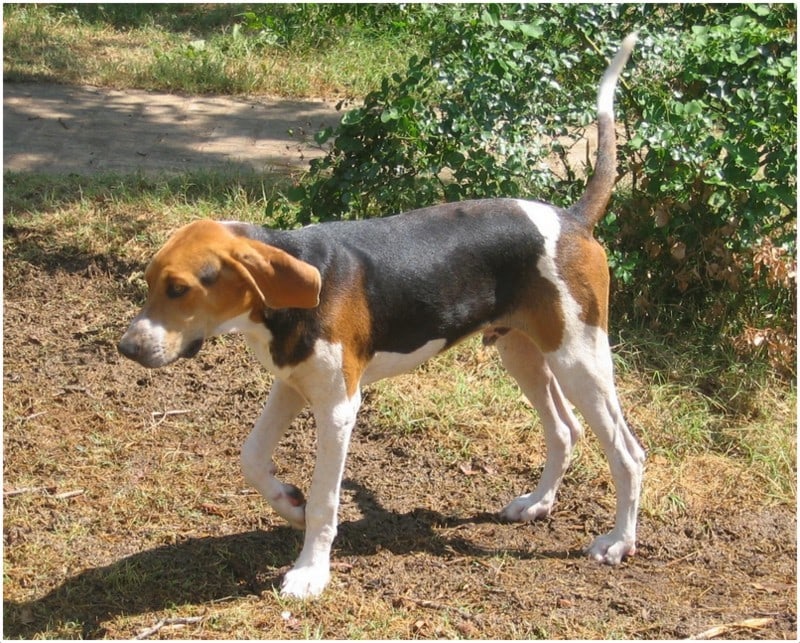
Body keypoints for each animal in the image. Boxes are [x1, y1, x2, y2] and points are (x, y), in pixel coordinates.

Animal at [119, 34, 644, 600]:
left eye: (179, 289)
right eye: (148, 282)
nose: (127, 348)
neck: (281, 302)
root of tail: (571, 219)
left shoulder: (338, 408)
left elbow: (326, 500)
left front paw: (310, 571)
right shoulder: (292, 383)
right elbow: (251, 458)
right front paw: (288, 504)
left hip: (579, 358)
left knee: (627, 454)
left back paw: (618, 542)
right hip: (522, 351)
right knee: (565, 431)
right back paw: (538, 504)